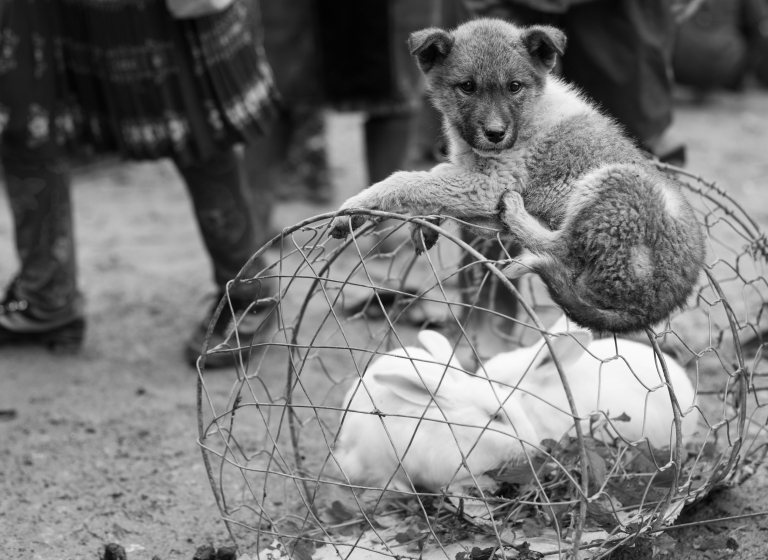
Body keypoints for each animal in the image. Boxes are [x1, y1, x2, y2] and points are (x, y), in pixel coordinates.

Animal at [328, 19, 704, 332]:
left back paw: (515, 216)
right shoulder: (471, 176)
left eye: (514, 86)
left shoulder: (488, 183)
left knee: (562, 248)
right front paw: (424, 224)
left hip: (616, 182)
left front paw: (354, 208)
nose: (495, 134)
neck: (531, 111)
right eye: (467, 86)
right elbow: (433, 180)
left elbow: (409, 179)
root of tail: (653, 306)